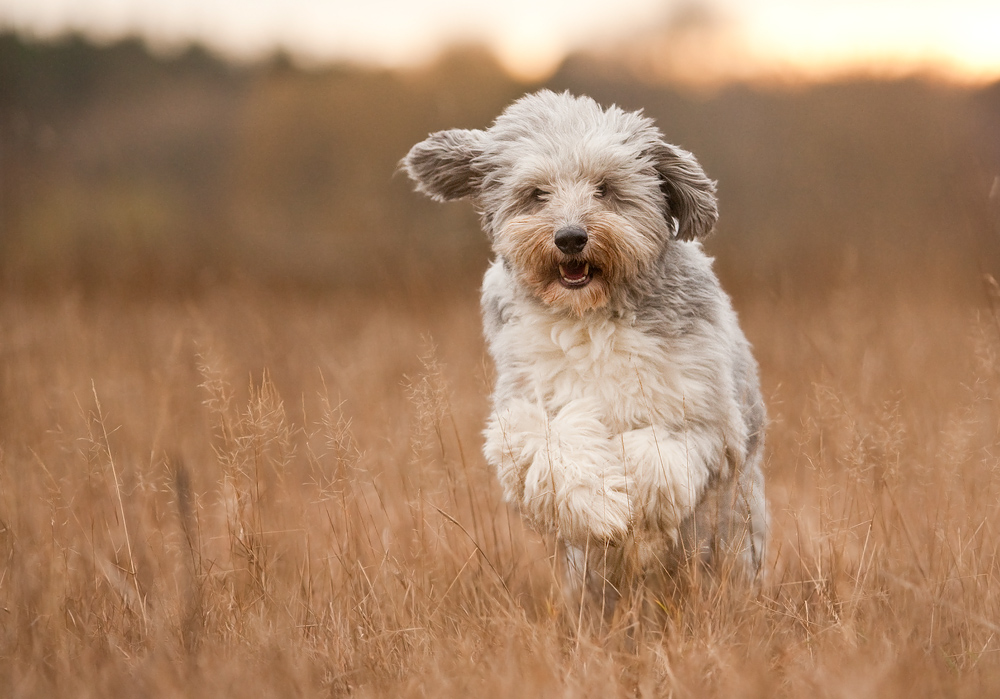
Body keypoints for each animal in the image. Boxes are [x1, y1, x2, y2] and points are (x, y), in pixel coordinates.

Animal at [402, 90, 768, 608]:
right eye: (537, 193)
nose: (570, 237)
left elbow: (655, 456)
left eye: (605, 188)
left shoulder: (708, 420)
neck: (590, 314)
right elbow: (551, 444)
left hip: (735, 540)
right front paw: (602, 506)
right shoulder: (522, 406)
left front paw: (633, 503)